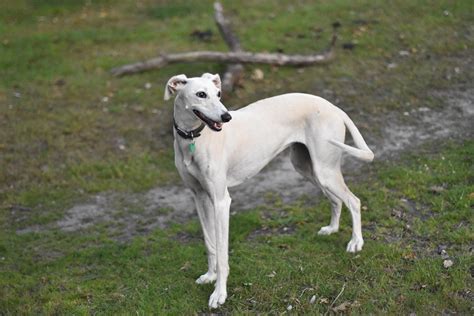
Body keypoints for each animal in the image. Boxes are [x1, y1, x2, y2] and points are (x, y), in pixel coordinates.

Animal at [165, 73, 372, 308]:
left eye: (218, 94)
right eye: (201, 94)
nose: (226, 117)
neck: (194, 139)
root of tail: (334, 107)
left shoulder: (221, 202)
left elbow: (222, 253)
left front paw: (219, 294)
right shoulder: (200, 198)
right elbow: (210, 244)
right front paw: (210, 276)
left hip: (325, 170)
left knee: (353, 200)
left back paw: (356, 242)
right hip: (309, 169)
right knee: (336, 200)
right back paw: (332, 229)